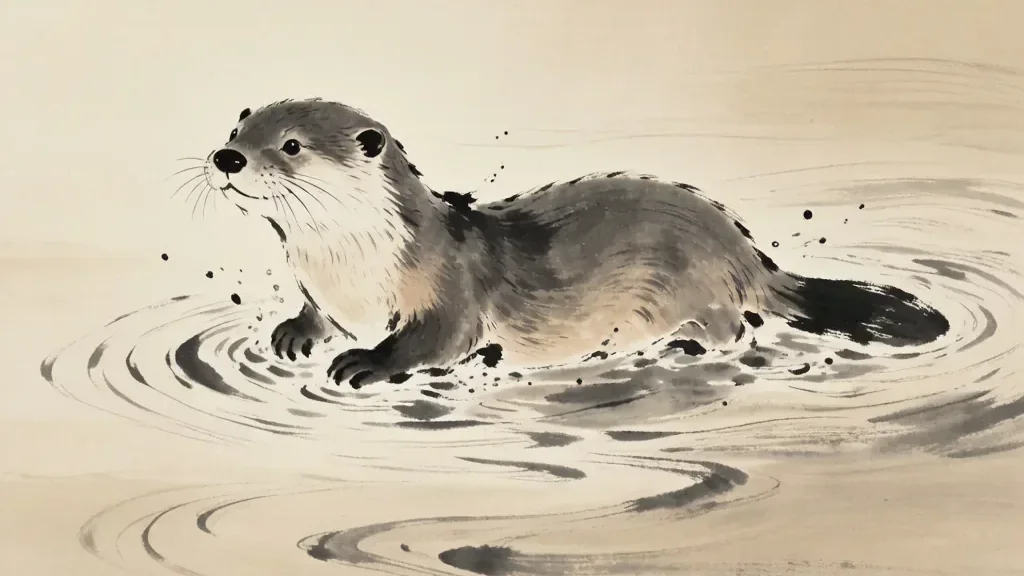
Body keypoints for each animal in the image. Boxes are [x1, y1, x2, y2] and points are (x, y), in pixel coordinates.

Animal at [201, 98, 950, 388]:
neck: (352, 271)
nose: (225, 158)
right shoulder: (325, 291)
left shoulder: (447, 288)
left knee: (734, 325)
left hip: (696, 282)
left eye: (291, 145)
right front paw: (295, 332)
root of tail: (746, 254)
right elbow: (314, 315)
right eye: (239, 126)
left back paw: (683, 345)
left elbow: (436, 340)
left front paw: (365, 361)